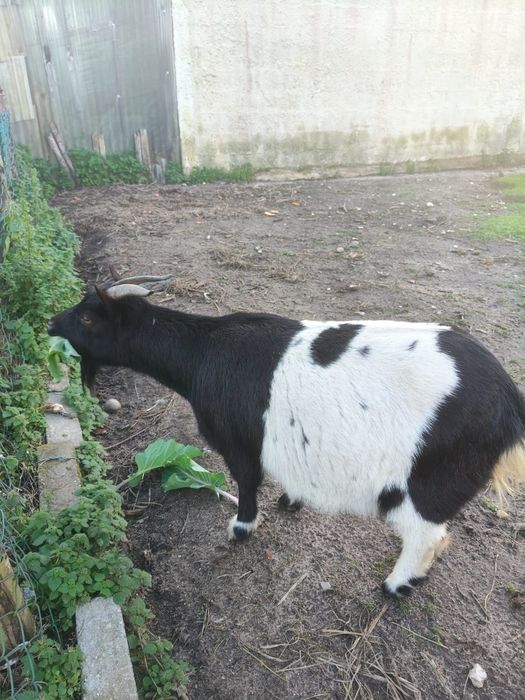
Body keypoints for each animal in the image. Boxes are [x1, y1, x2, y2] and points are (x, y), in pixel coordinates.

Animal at [48, 282, 525, 598]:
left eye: (88, 318)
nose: (51, 322)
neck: (203, 352)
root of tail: (509, 403)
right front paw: (290, 500)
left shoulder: (238, 441)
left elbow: (246, 482)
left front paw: (241, 528)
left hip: (432, 478)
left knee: (427, 534)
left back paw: (395, 585)